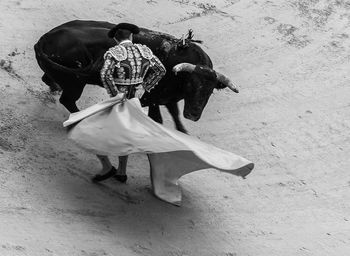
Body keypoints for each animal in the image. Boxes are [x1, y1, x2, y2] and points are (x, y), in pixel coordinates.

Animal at [33, 19, 238, 132]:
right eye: (191, 85)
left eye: (210, 91)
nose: (193, 115)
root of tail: (44, 38)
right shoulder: (152, 98)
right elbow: (159, 118)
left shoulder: (168, 98)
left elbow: (175, 116)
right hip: (75, 84)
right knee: (68, 100)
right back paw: (80, 117)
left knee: (48, 80)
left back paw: (54, 89)